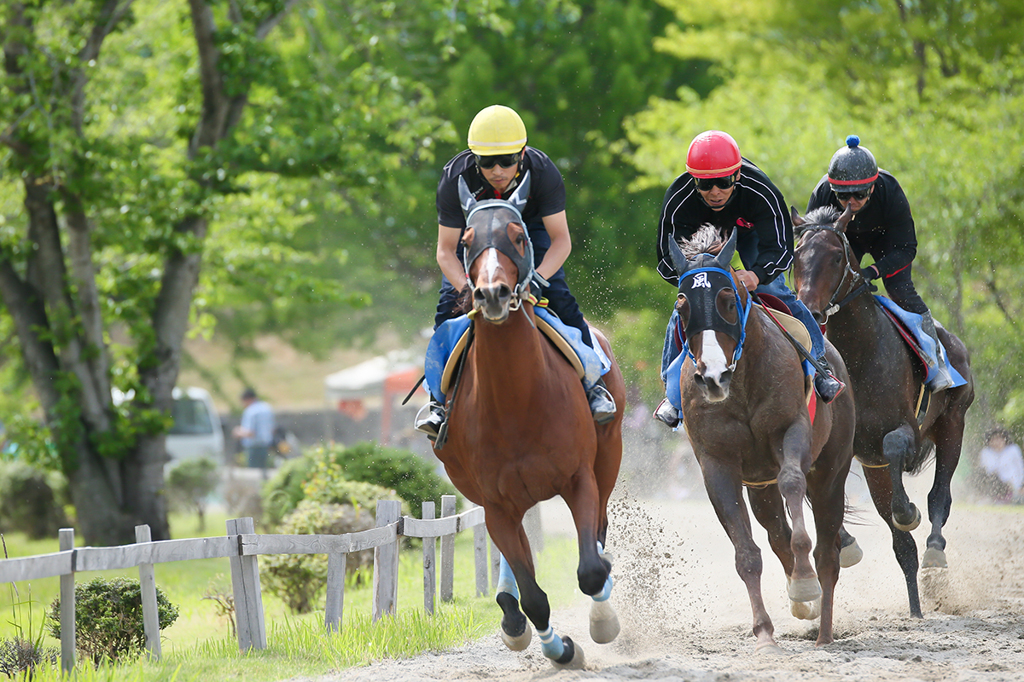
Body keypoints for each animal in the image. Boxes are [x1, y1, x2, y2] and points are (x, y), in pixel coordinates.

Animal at [432, 173, 622, 667]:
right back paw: (511, 614)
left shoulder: (579, 478)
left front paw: (601, 621)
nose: (492, 293)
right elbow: (533, 593)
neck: (516, 401)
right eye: (466, 241)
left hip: (609, 457)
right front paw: (558, 647)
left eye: (518, 237)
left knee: (599, 535)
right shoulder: (497, 504)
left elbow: (590, 570)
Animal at [663, 225, 856, 651]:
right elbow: (747, 552)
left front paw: (804, 585)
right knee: (778, 533)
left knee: (828, 552)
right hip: (759, 485)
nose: (713, 377)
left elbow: (793, 484)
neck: (741, 384)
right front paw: (765, 632)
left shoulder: (791, 432)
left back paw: (823, 629)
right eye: (683, 307)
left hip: (831, 473)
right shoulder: (718, 465)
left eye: (726, 300)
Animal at [790, 202, 974, 614]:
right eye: (797, 255)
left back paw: (934, 550)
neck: (859, 355)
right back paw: (915, 608)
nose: (809, 309)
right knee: (902, 546)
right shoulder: (849, 449)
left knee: (939, 497)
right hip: (875, 470)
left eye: (836, 256)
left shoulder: (904, 430)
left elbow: (896, 453)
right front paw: (846, 545)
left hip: (953, 423)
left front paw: (907, 512)